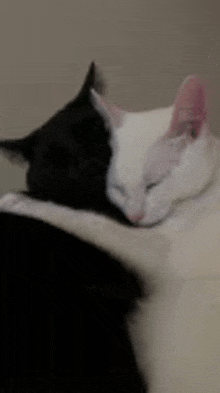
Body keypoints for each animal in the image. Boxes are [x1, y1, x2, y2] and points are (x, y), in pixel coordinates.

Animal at [0, 62, 220, 390]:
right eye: (117, 188)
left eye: (154, 185)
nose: (134, 216)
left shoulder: (155, 250)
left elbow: (90, 221)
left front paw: (20, 201)